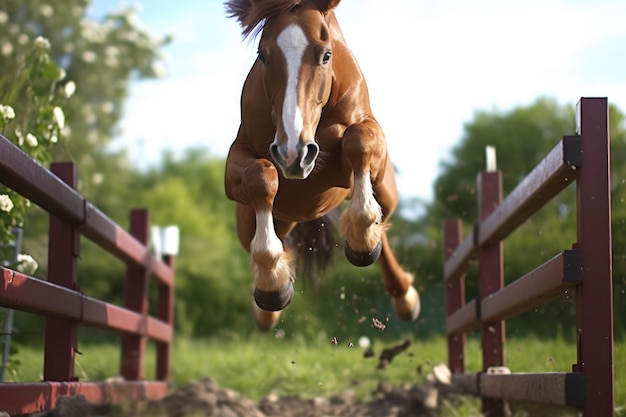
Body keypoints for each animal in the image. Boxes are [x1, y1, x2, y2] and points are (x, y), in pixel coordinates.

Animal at [224, 0, 420, 328]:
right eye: (262, 54)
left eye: (326, 54)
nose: (293, 153)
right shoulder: (236, 164)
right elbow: (260, 178)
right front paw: (273, 285)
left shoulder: (368, 137)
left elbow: (358, 140)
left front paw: (363, 239)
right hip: (253, 221)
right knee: (277, 237)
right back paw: (268, 305)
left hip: (386, 191)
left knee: (383, 225)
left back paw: (403, 295)